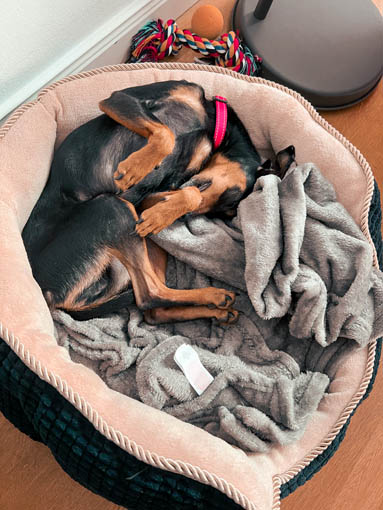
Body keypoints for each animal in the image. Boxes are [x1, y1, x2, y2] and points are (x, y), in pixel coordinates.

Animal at [22, 80, 296, 322]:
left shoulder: (156, 194)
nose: (182, 218)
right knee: (149, 297)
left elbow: (188, 191)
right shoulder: (120, 99)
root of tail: (48, 295)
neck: (211, 124)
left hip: (136, 232)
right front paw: (135, 167)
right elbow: (167, 135)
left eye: (224, 213)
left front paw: (161, 214)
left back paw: (217, 304)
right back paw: (214, 298)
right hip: (113, 207)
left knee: (151, 304)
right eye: (230, 199)